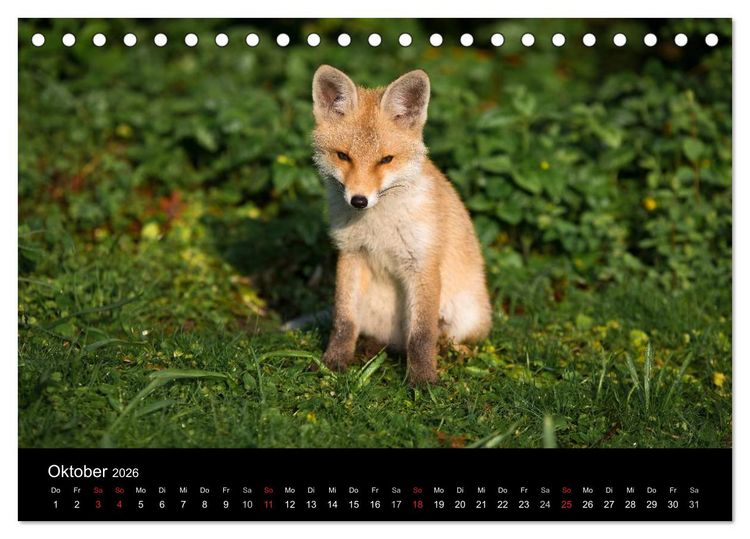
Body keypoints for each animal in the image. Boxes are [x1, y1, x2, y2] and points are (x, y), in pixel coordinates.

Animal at [312, 65, 492, 384]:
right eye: (343, 156)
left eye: (386, 160)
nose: (359, 200)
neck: (379, 229)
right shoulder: (351, 254)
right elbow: (344, 322)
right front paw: (334, 362)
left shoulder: (422, 262)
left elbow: (421, 336)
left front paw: (422, 382)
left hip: (465, 316)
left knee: (448, 340)